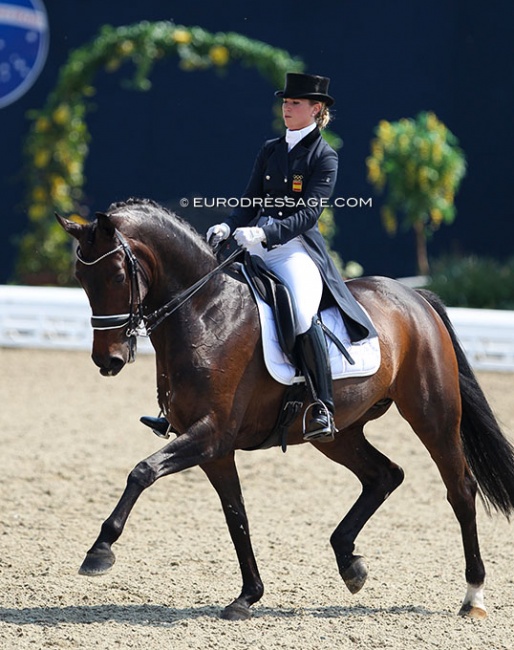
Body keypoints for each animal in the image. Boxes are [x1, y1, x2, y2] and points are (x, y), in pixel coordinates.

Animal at [56, 196, 512, 616]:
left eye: (117, 274)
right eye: (80, 276)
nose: (108, 360)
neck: (206, 313)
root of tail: (414, 297)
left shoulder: (210, 434)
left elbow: (142, 471)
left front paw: (99, 550)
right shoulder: (215, 449)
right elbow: (236, 515)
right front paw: (248, 596)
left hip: (432, 415)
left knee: (460, 489)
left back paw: (473, 595)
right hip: (338, 434)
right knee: (384, 475)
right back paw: (350, 563)